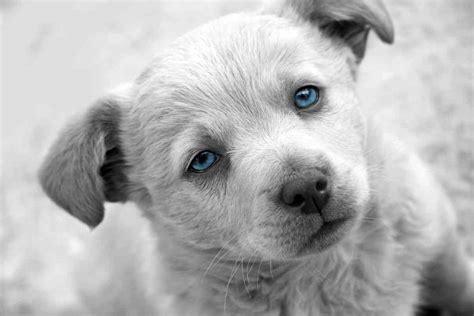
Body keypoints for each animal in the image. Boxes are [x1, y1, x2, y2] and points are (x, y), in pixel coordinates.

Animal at [39, 0, 474, 316]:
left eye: (306, 95)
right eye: (203, 160)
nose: (308, 188)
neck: (329, 268)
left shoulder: (446, 253)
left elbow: (459, 288)